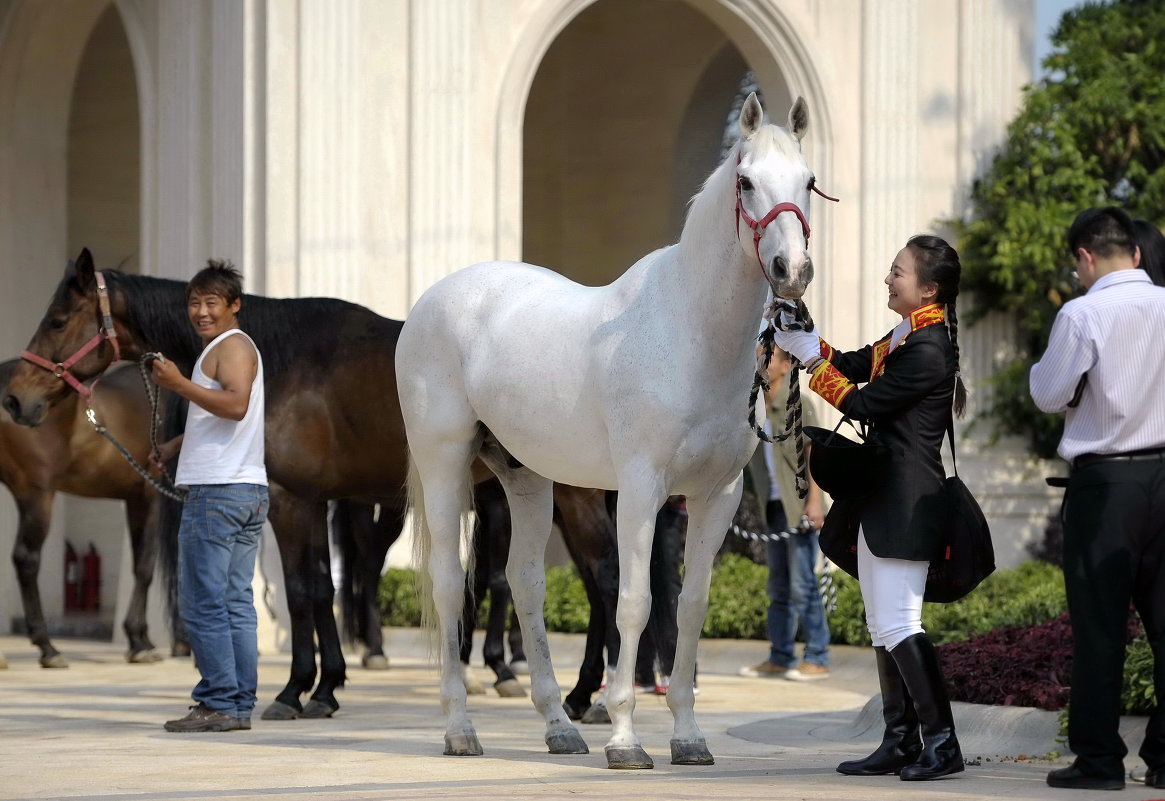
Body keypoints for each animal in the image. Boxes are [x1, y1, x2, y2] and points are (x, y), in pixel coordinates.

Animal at [0, 360, 163, 665]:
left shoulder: (135, 498)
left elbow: (141, 562)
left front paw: (142, 639)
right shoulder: (151, 495)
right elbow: (146, 567)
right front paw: (139, 643)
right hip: (37, 494)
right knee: (26, 559)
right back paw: (48, 648)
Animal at [396, 93, 815, 768]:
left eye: (807, 181)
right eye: (747, 182)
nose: (792, 270)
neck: (690, 333)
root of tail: (434, 301)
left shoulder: (716, 495)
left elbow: (690, 606)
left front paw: (689, 736)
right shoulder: (640, 489)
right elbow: (635, 601)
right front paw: (624, 737)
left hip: (525, 478)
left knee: (525, 583)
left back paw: (558, 726)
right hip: (445, 463)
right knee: (450, 584)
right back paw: (461, 730)